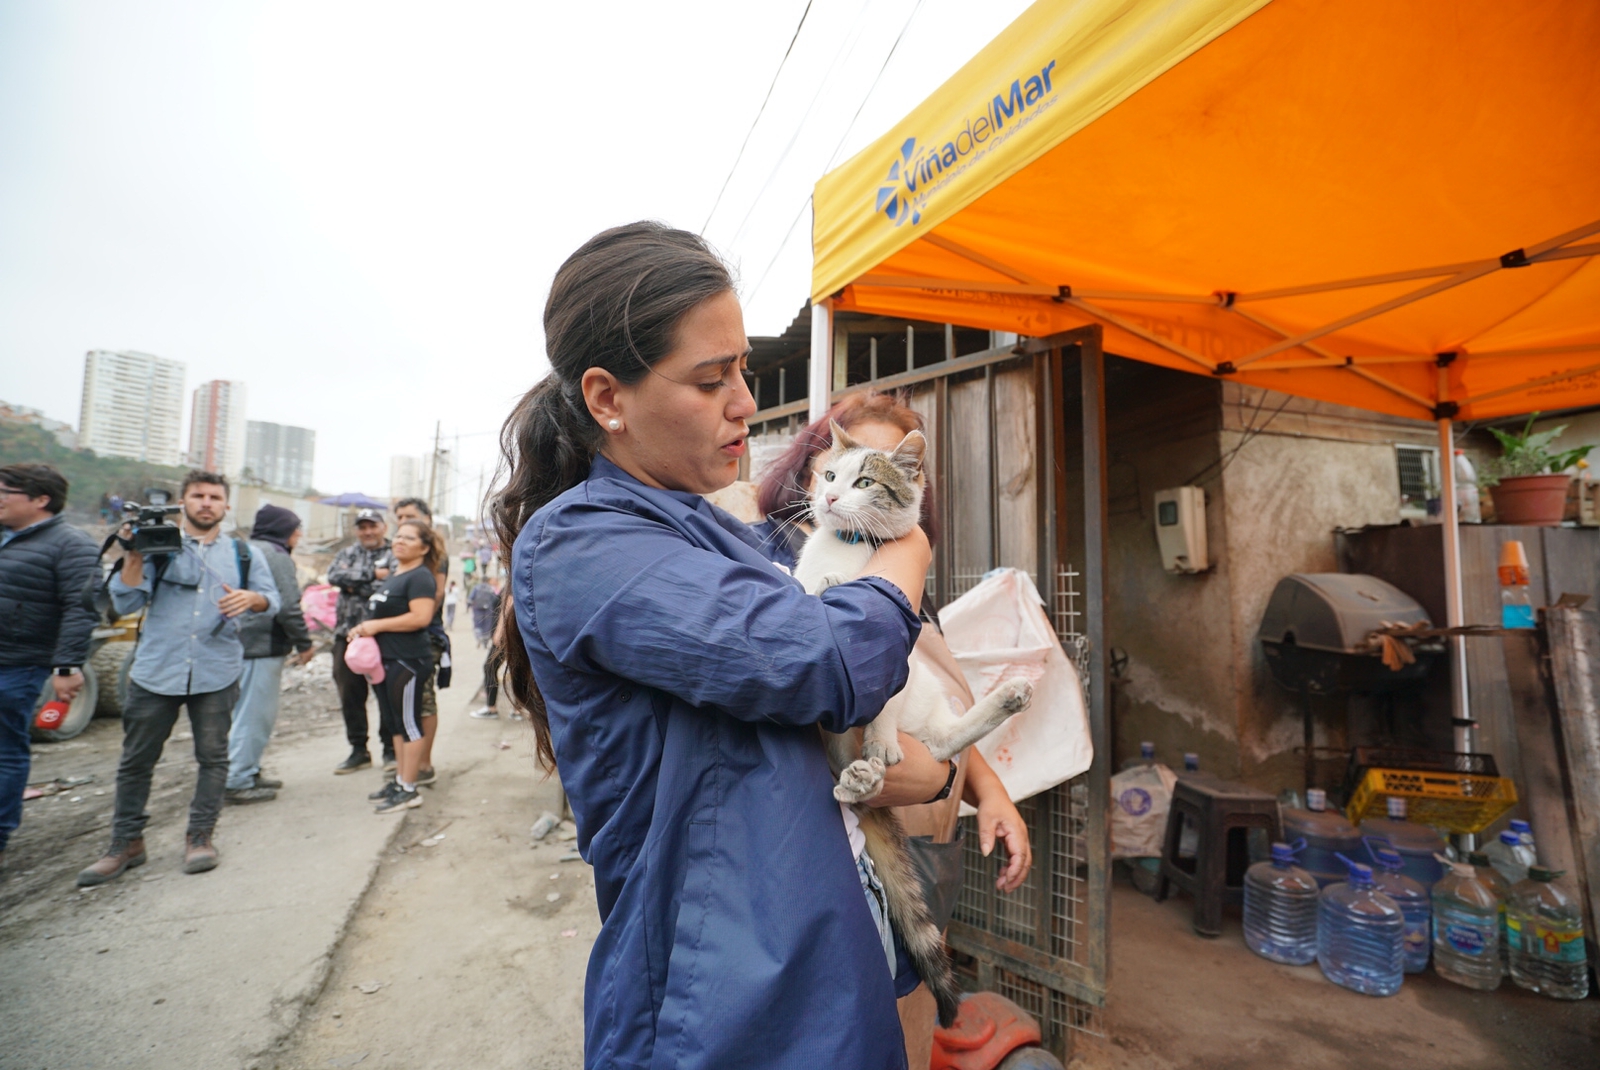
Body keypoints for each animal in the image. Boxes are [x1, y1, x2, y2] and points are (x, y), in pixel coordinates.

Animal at [790, 419, 1036, 1023]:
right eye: (829, 475)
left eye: (863, 482)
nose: (830, 499)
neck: (852, 550)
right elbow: (805, 587)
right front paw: (818, 581)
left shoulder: (897, 651)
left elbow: (881, 702)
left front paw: (881, 742)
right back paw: (860, 778)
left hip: (926, 703)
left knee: (945, 743)